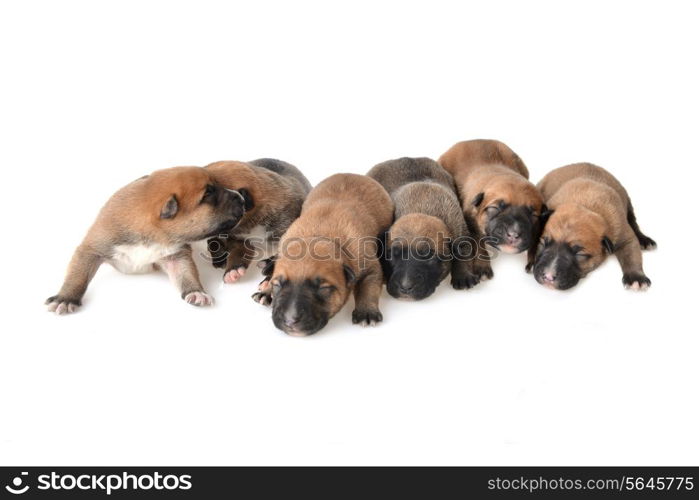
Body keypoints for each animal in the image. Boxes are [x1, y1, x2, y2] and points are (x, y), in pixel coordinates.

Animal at [47, 168, 249, 316]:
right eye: (208, 194)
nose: (241, 197)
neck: (151, 234)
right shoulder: (92, 249)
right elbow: (78, 276)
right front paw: (65, 298)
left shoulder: (176, 256)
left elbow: (187, 274)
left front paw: (196, 292)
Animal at [262, 174, 394, 338]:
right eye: (277, 285)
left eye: (323, 288)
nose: (290, 320)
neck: (319, 233)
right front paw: (266, 289)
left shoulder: (370, 267)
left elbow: (369, 287)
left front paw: (366, 312)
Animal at [366, 156, 492, 298]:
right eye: (392, 254)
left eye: (429, 257)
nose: (405, 287)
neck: (423, 208)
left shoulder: (460, 231)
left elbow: (462, 255)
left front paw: (463, 276)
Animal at [532, 162, 660, 292]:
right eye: (543, 243)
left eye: (580, 254)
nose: (548, 276)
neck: (586, 205)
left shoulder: (624, 234)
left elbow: (631, 255)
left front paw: (636, 277)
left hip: (628, 203)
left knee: (633, 222)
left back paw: (644, 240)